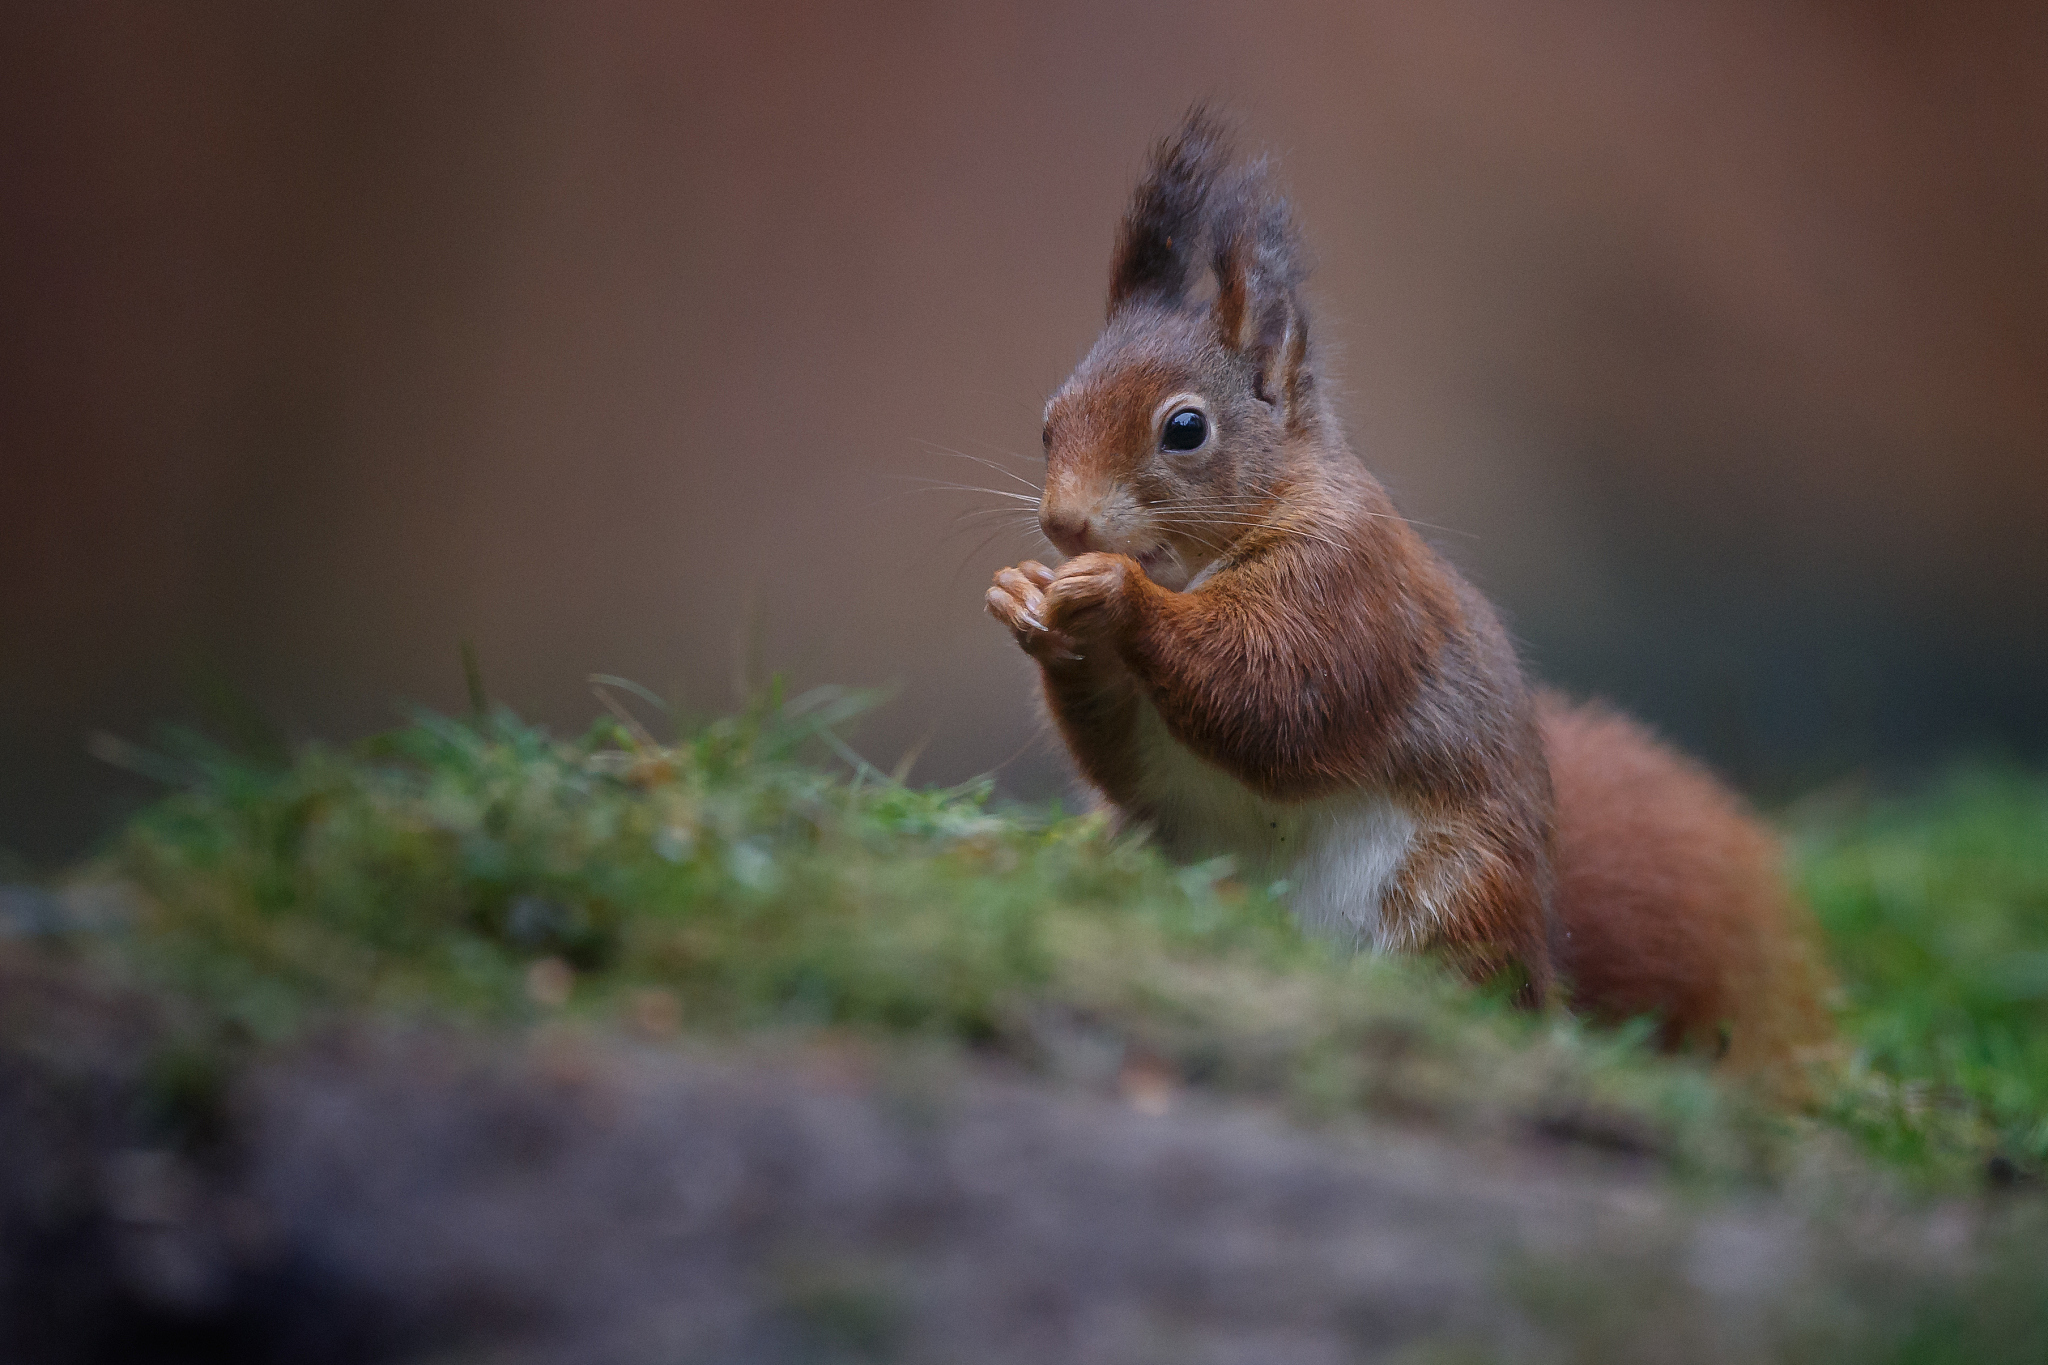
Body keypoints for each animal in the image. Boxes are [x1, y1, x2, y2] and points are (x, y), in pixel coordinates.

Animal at [983, 109, 1835, 1096]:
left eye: (1185, 429)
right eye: (1049, 420)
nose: (1064, 522)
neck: (1194, 566)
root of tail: (1547, 966)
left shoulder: (1350, 589)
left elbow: (1274, 693)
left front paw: (1118, 594)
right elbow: (1123, 749)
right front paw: (1026, 601)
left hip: (1452, 892)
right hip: (1144, 844)